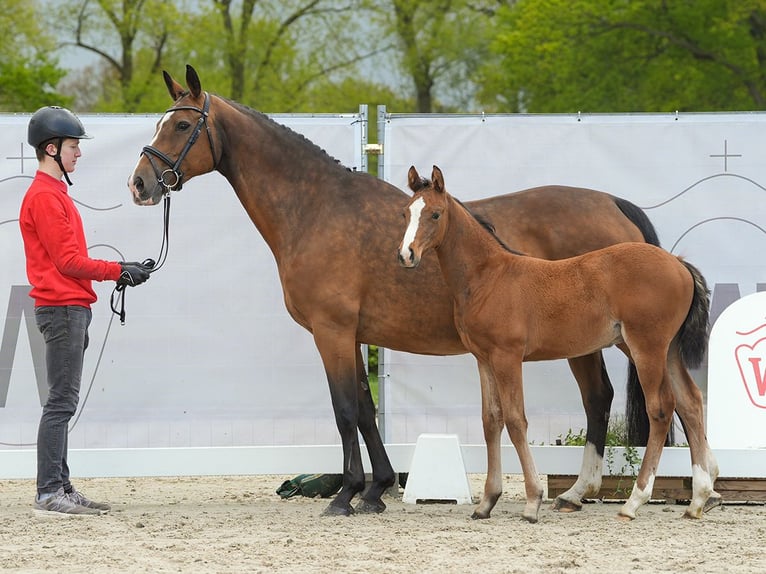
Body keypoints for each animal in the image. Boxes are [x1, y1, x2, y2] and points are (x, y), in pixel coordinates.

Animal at [127, 65, 664, 520]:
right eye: (159, 122)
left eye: (180, 126)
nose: (139, 184)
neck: (317, 208)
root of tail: (613, 205)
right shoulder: (353, 334)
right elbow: (365, 411)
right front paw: (376, 489)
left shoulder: (331, 331)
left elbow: (345, 411)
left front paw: (345, 495)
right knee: (604, 398)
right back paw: (580, 494)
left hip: (608, 341)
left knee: (601, 398)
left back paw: (584, 492)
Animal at [400, 164, 724, 524]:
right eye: (406, 213)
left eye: (435, 214)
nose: (407, 255)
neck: (490, 276)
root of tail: (678, 263)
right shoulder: (483, 358)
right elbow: (490, 421)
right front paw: (486, 502)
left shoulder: (507, 356)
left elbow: (515, 420)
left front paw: (532, 502)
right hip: (665, 350)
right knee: (690, 402)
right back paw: (699, 498)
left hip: (647, 347)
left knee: (661, 407)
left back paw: (634, 501)